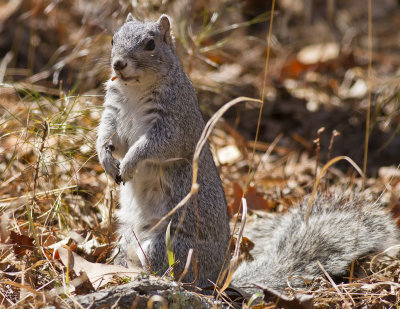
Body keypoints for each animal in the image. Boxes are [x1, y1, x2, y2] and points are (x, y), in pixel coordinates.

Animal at [97, 13, 400, 292]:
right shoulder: (114, 113)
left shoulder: (176, 123)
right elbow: (107, 136)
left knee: (167, 269)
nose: (118, 64)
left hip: (169, 245)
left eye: (150, 44)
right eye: (112, 39)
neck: (136, 89)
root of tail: (216, 279)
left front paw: (130, 162)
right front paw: (106, 159)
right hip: (125, 239)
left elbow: (155, 146)